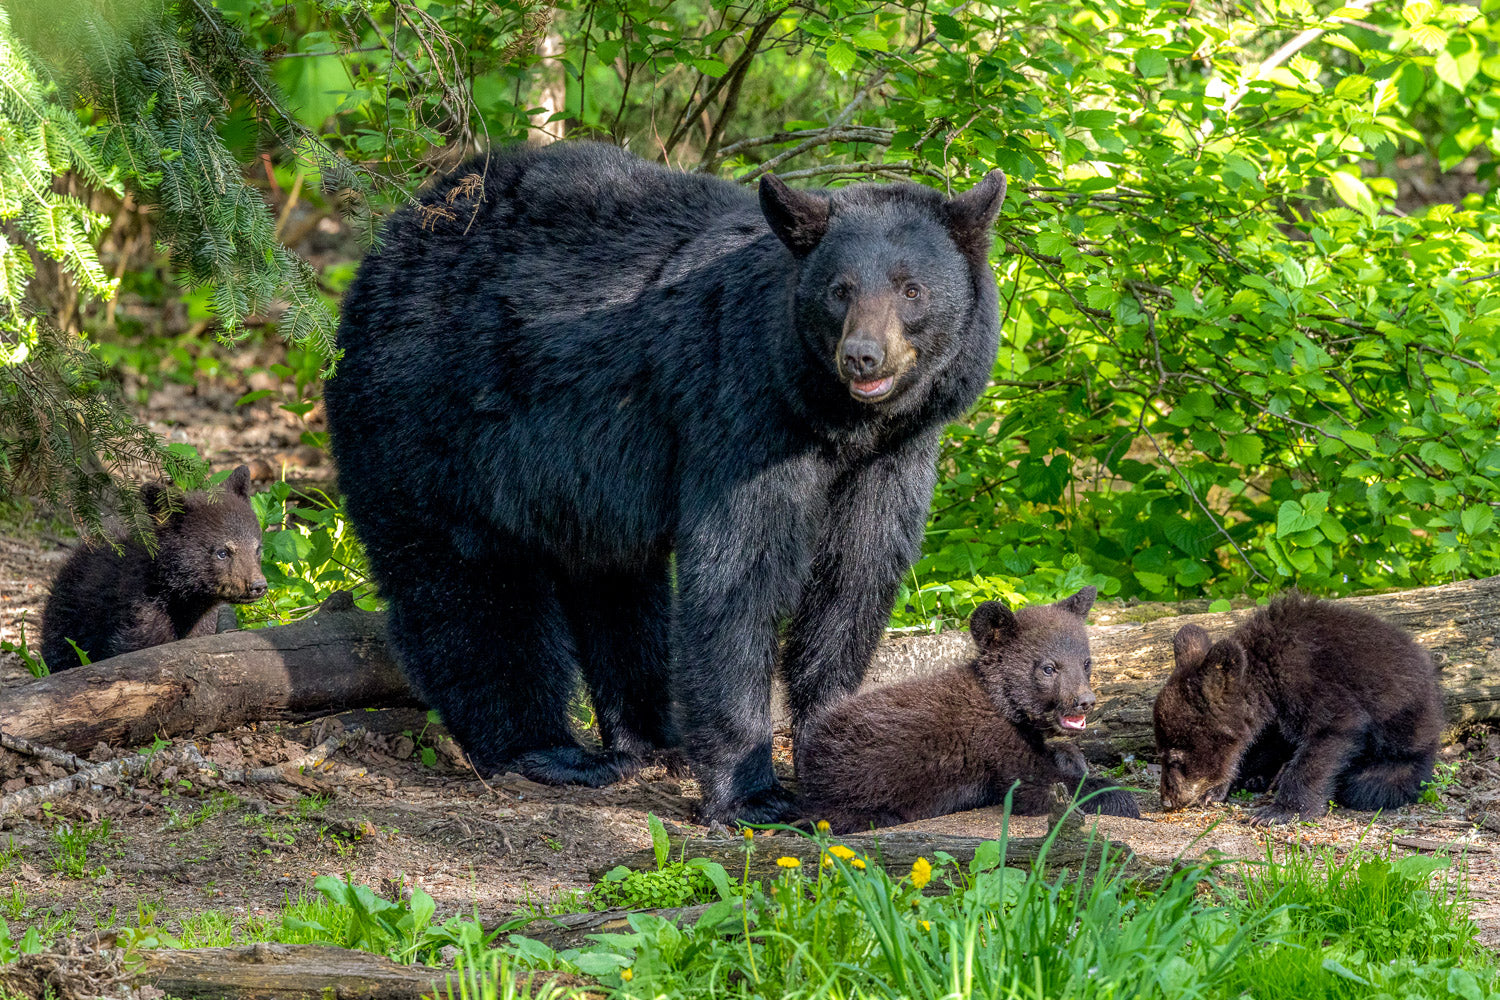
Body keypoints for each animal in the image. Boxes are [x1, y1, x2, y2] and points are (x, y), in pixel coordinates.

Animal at [322, 141, 1008, 824]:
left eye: (912, 289)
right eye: (839, 291)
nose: (863, 356)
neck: (838, 422)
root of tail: (391, 242)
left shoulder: (893, 457)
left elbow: (855, 578)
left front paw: (845, 749)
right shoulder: (741, 412)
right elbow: (740, 574)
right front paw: (751, 792)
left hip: (581, 485)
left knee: (616, 585)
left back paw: (654, 740)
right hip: (427, 419)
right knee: (470, 584)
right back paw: (545, 750)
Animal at [796, 586, 1140, 833]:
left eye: (1086, 662)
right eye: (1048, 668)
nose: (1085, 700)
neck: (1002, 704)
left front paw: (1073, 757)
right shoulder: (995, 744)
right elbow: (1036, 786)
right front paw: (1119, 797)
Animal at [1153, 592, 1441, 826]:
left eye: (1175, 758)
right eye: (1162, 752)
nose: (1168, 800)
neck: (1267, 673)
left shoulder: (1311, 683)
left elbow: (1328, 735)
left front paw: (1280, 811)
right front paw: (1218, 787)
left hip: (1407, 741)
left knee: (1372, 783)